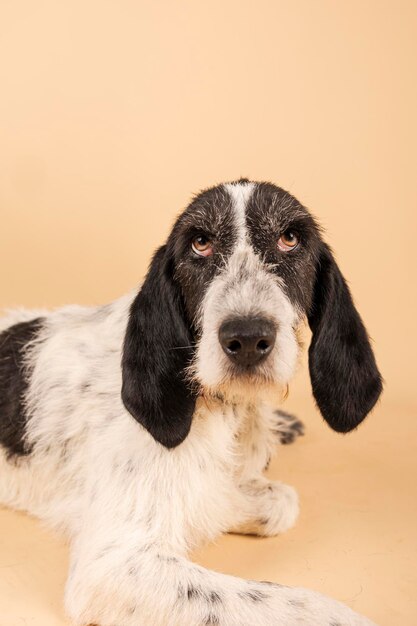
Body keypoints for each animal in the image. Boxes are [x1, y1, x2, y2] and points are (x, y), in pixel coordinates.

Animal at [0, 180, 380, 624]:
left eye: (290, 238)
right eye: (200, 243)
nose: (247, 337)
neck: (223, 409)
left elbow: (278, 502)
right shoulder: (116, 564)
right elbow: (297, 603)